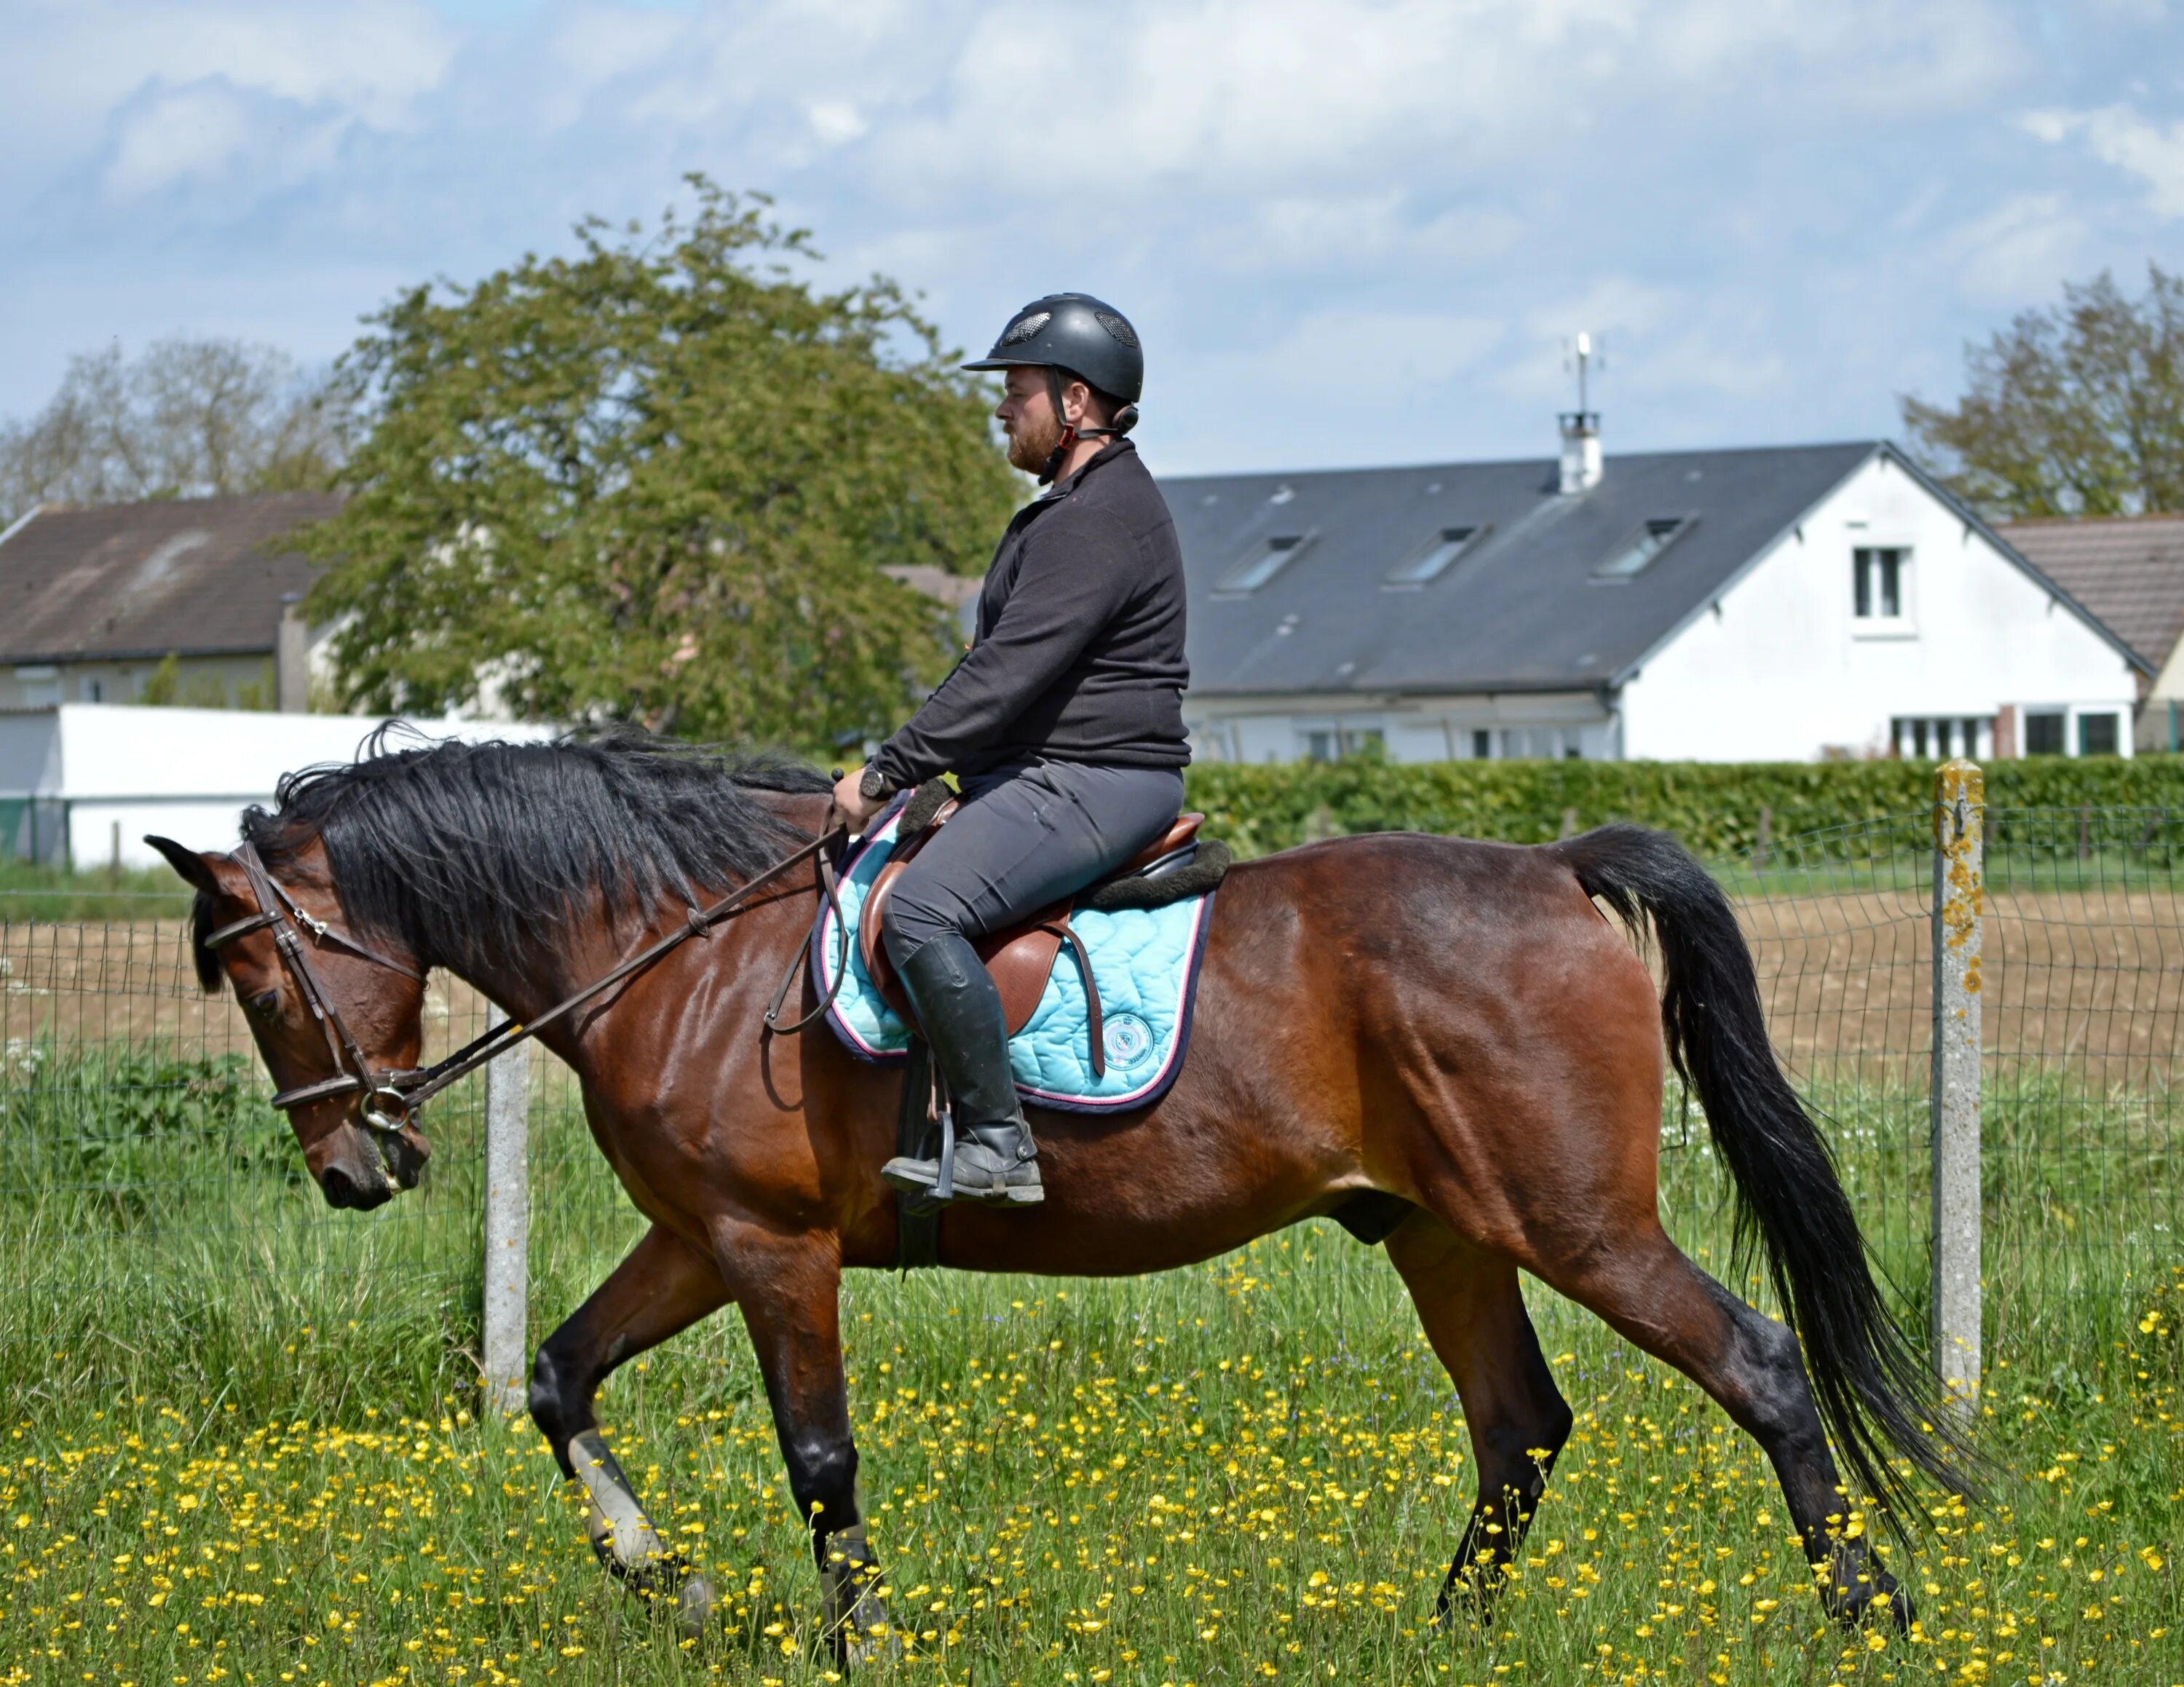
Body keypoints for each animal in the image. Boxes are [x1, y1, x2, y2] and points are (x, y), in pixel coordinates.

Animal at [149, 734, 1966, 1660]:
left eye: (260, 974)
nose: (353, 1171)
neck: (676, 939)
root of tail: (1555, 868)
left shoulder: (770, 1250)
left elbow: (819, 1455)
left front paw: (862, 1641)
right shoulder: (697, 1238)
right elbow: (555, 1377)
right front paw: (667, 1578)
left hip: (1575, 1223)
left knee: (1755, 1367)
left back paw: (1868, 1615)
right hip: (1444, 1230)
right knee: (1520, 1426)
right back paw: (1445, 1637)